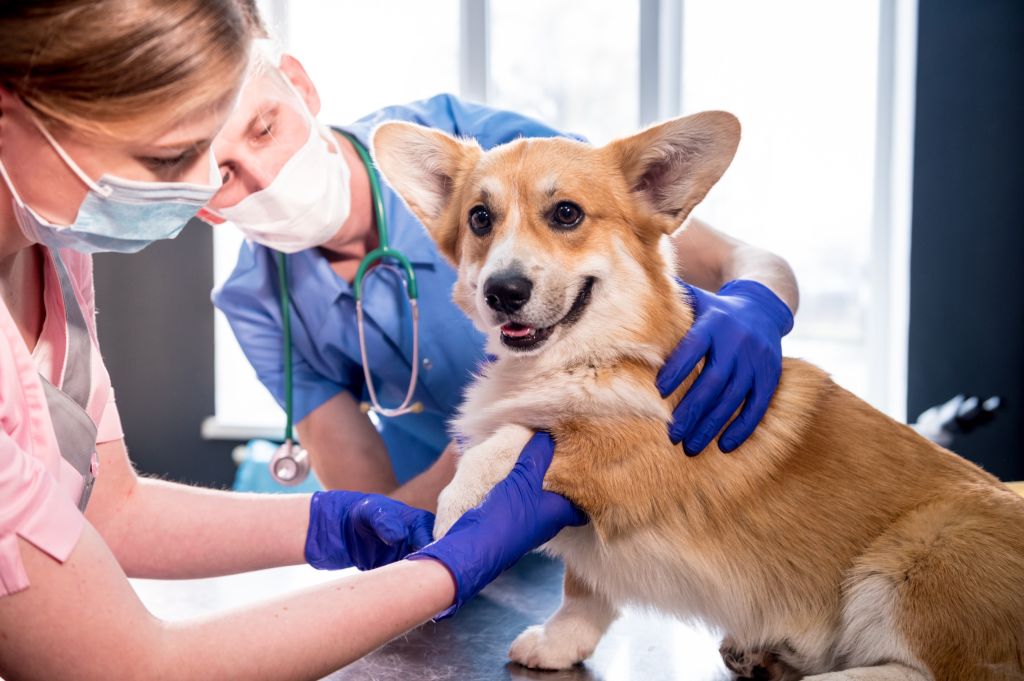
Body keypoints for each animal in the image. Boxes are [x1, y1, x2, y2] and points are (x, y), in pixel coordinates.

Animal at [372, 114, 1024, 675]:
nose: (502, 292)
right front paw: (561, 643)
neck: (591, 355)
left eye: (566, 214)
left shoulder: (634, 451)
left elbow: (513, 437)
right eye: (480, 219)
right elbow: (584, 590)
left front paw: (456, 510)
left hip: (921, 551)